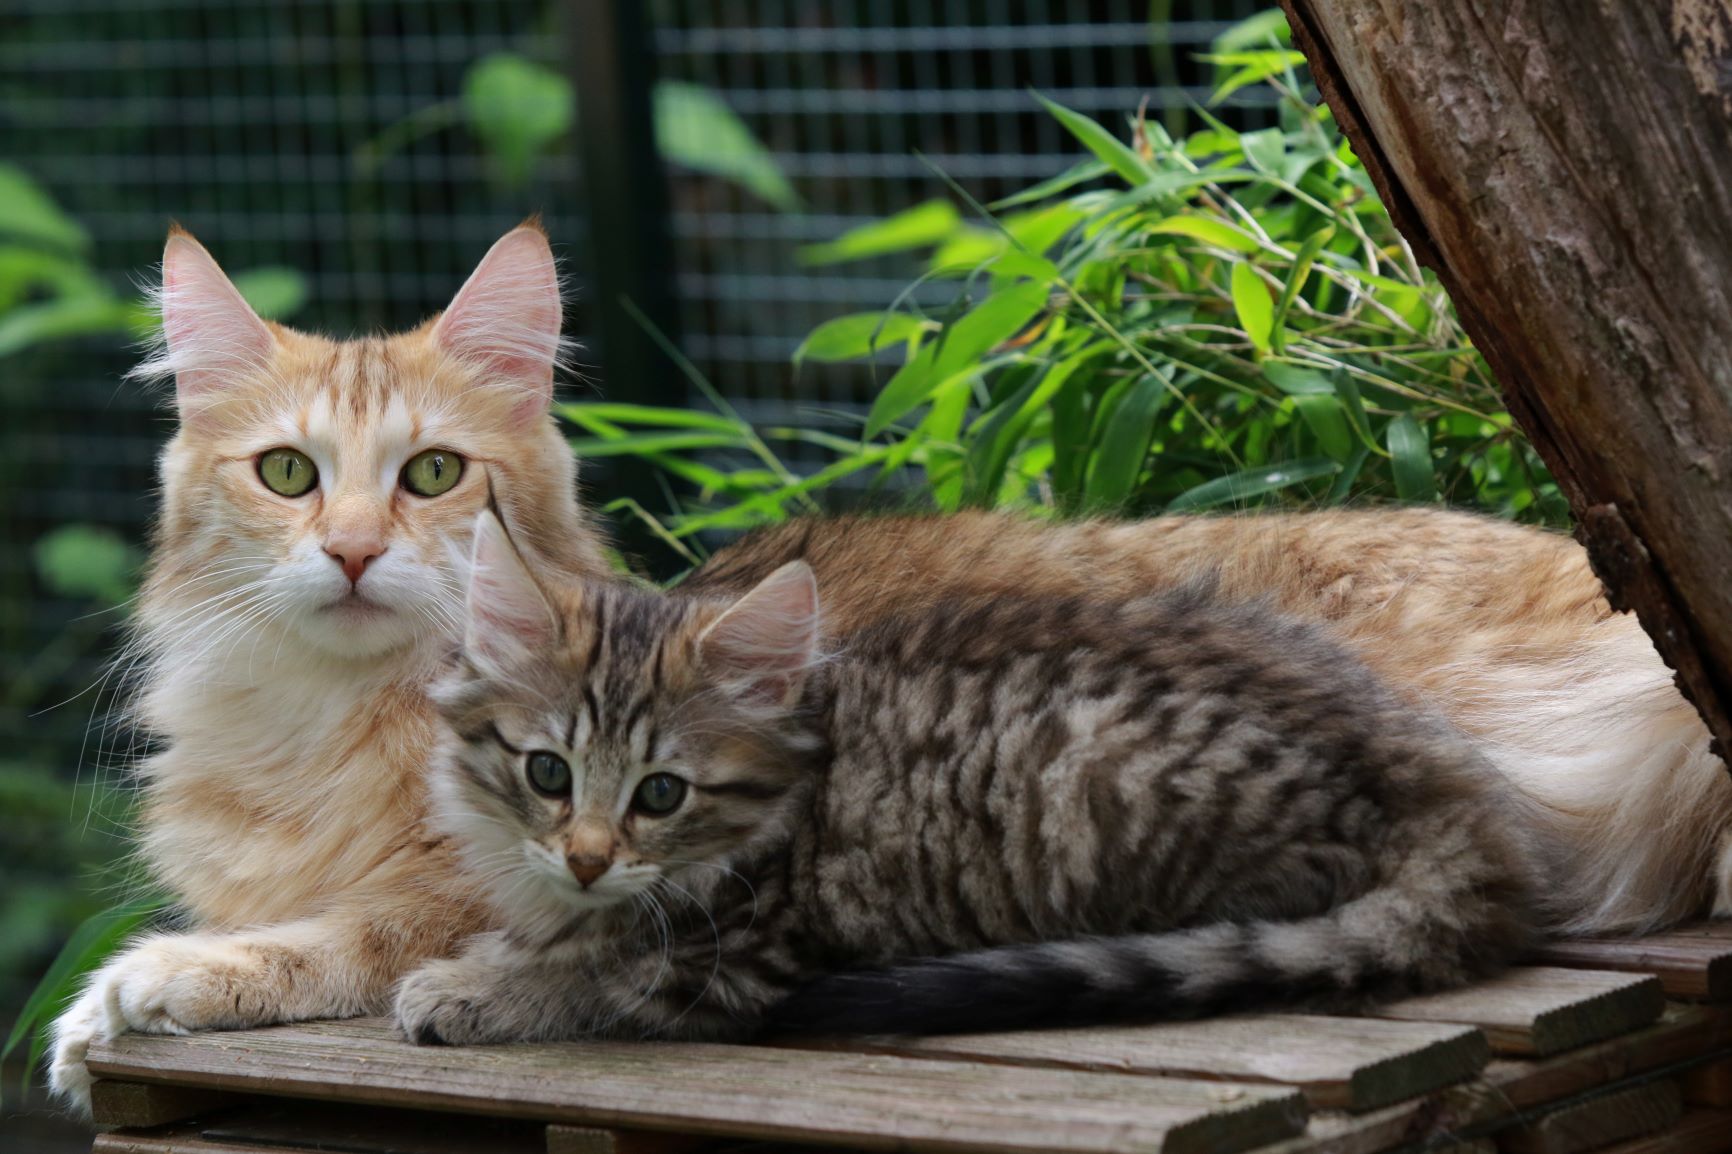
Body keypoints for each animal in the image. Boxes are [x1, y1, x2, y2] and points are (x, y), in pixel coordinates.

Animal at [396, 512, 1558, 1039]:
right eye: (548, 771)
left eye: (661, 793)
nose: (589, 858)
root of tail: (1445, 792)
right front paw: (500, 949)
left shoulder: (733, 964)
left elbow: (590, 977)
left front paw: (473, 988)